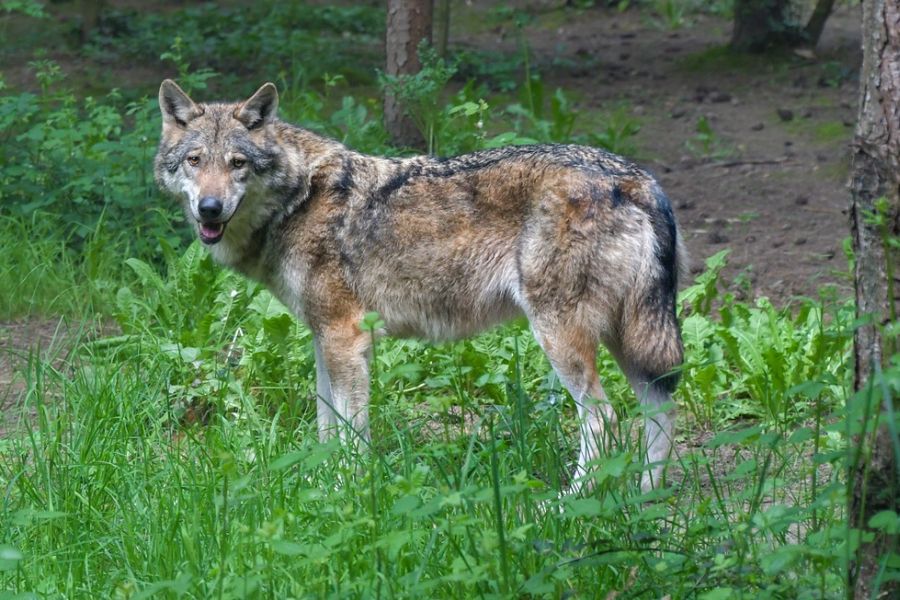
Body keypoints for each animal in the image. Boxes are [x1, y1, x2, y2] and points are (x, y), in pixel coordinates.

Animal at [156, 81, 688, 492]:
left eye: (238, 163)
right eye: (195, 161)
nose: (209, 208)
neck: (299, 199)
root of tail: (637, 179)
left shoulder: (346, 338)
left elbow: (351, 434)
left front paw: (345, 492)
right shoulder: (324, 338)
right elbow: (327, 428)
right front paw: (316, 488)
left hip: (563, 338)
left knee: (605, 420)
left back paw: (565, 505)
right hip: (629, 339)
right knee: (661, 409)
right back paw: (645, 497)